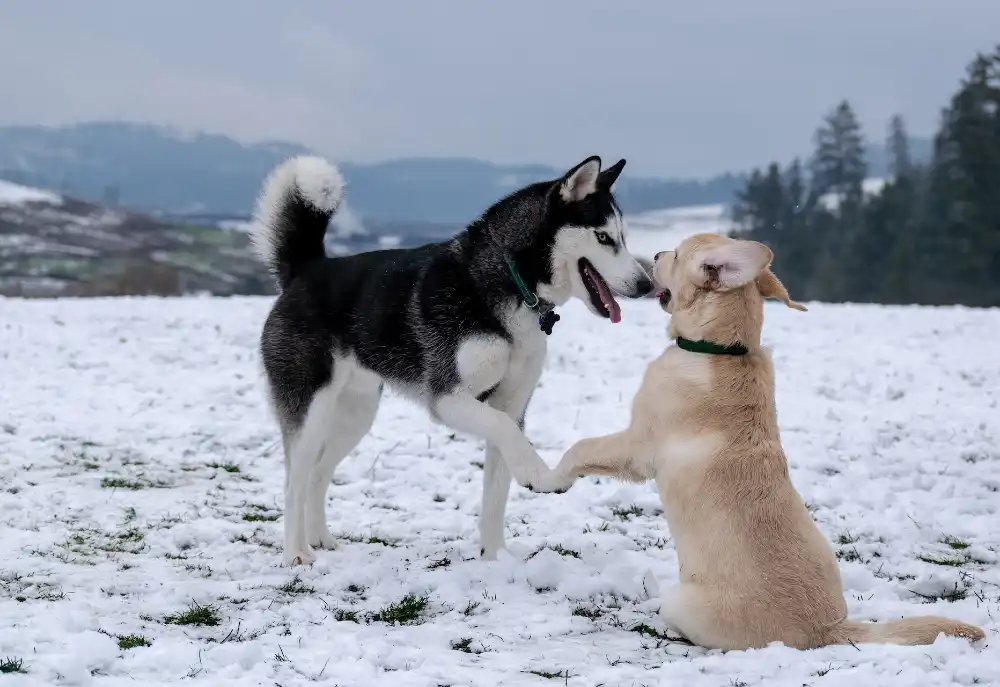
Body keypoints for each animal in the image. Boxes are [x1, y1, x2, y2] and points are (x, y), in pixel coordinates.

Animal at [254, 155, 652, 564]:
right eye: (603, 238)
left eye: (623, 237)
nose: (647, 285)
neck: (513, 283)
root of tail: (307, 269)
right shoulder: (448, 398)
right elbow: (507, 436)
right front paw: (539, 475)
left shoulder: (511, 404)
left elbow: (497, 490)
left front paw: (496, 557)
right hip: (310, 410)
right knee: (293, 484)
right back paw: (296, 554)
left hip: (355, 415)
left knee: (317, 476)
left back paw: (320, 539)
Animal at [552, 235, 980, 652]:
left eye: (675, 255)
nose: (655, 254)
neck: (721, 348)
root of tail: (828, 631)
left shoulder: (638, 446)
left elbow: (582, 447)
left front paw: (555, 478)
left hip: (680, 600)